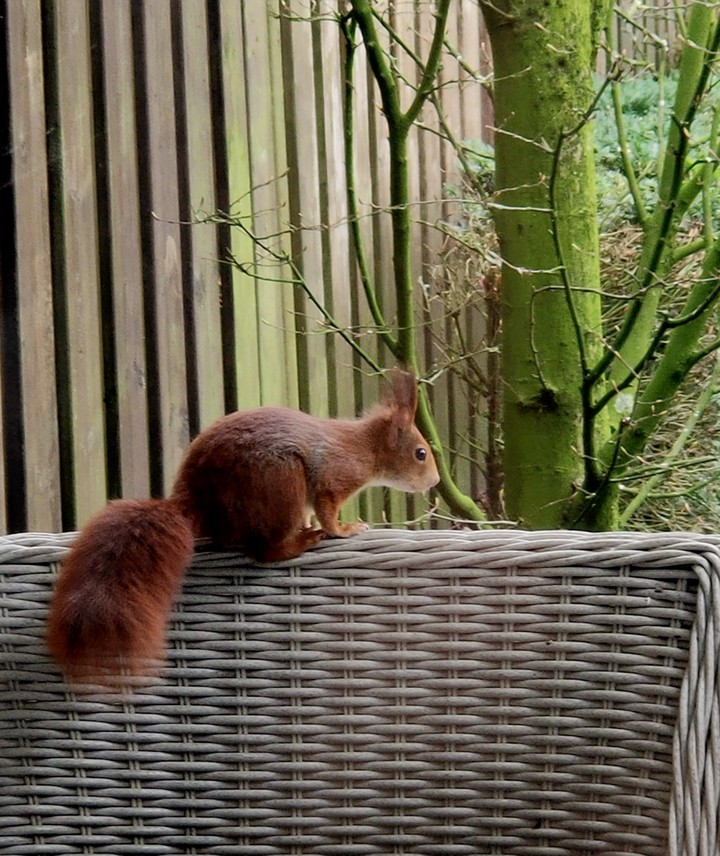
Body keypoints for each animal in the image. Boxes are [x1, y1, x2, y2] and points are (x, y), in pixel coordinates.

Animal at [46, 369, 439, 686]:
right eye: (421, 453)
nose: (435, 480)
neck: (364, 446)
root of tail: (197, 503)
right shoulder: (334, 477)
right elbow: (328, 511)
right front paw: (343, 529)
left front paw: (318, 524)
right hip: (280, 481)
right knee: (265, 551)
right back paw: (300, 541)